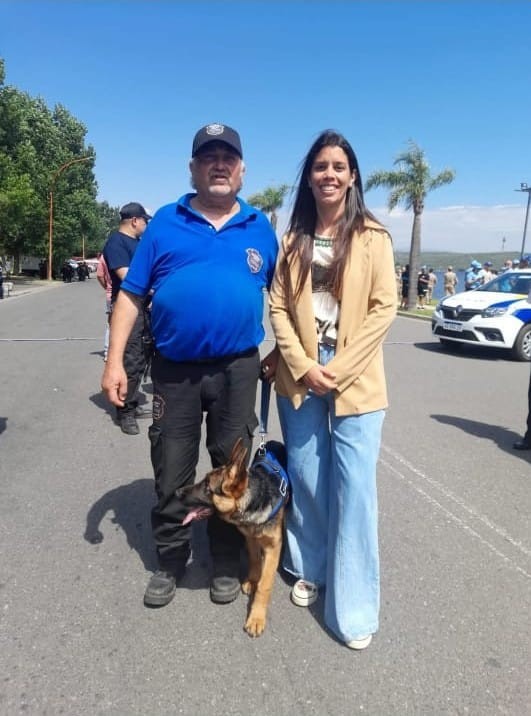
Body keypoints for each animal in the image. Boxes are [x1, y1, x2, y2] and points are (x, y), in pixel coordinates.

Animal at [177, 438, 289, 637]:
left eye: (207, 487)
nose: (177, 492)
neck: (253, 501)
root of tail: (272, 441)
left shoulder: (273, 547)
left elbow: (264, 585)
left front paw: (256, 617)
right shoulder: (250, 538)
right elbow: (254, 560)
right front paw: (252, 580)